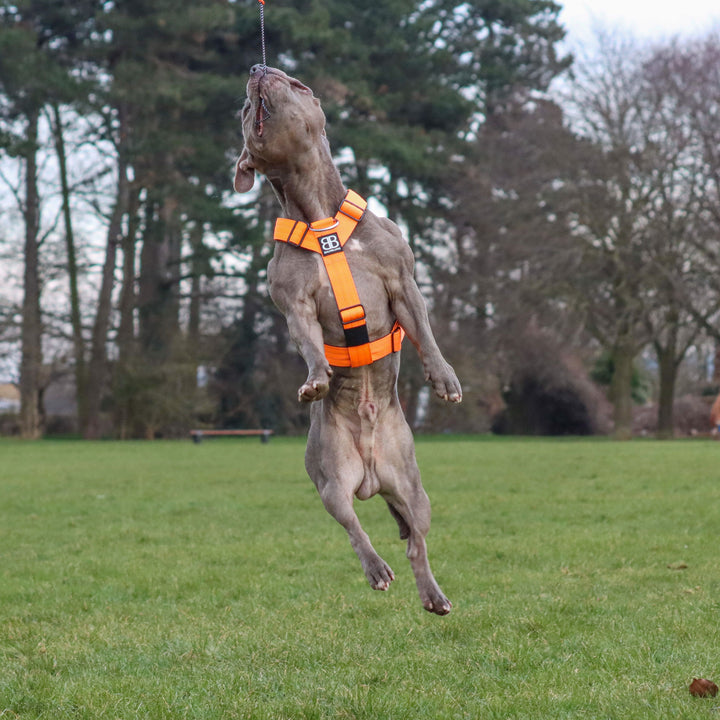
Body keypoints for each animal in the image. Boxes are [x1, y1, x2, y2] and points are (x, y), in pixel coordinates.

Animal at [236, 64, 462, 612]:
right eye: (243, 109)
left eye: (295, 83)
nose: (258, 69)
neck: (321, 216)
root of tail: (371, 475)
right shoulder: (294, 303)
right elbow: (310, 343)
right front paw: (317, 380)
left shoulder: (402, 280)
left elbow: (424, 331)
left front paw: (443, 379)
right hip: (331, 477)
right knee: (354, 526)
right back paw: (377, 570)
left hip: (413, 488)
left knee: (417, 540)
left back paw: (432, 594)